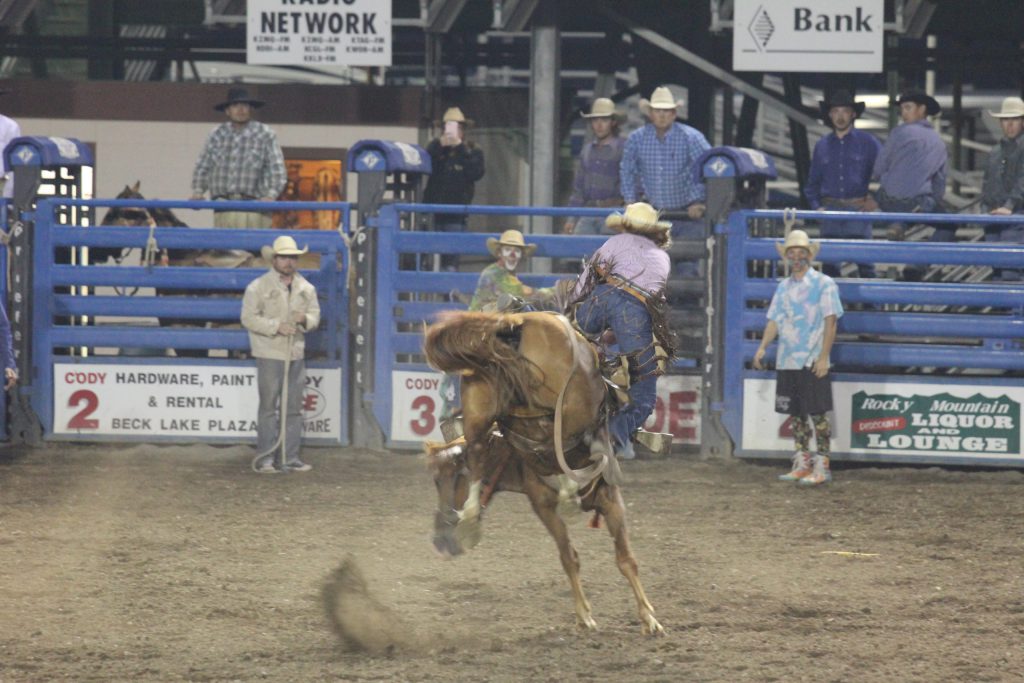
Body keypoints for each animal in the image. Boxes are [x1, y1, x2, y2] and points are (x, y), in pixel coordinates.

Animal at [422, 310, 664, 635]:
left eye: (448, 480)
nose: (439, 542)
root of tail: (514, 323)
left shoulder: (610, 498)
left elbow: (625, 559)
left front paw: (648, 618)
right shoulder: (543, 507)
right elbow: (569, 557)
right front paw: (585, 614)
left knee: (511, 440)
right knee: (507, 442)